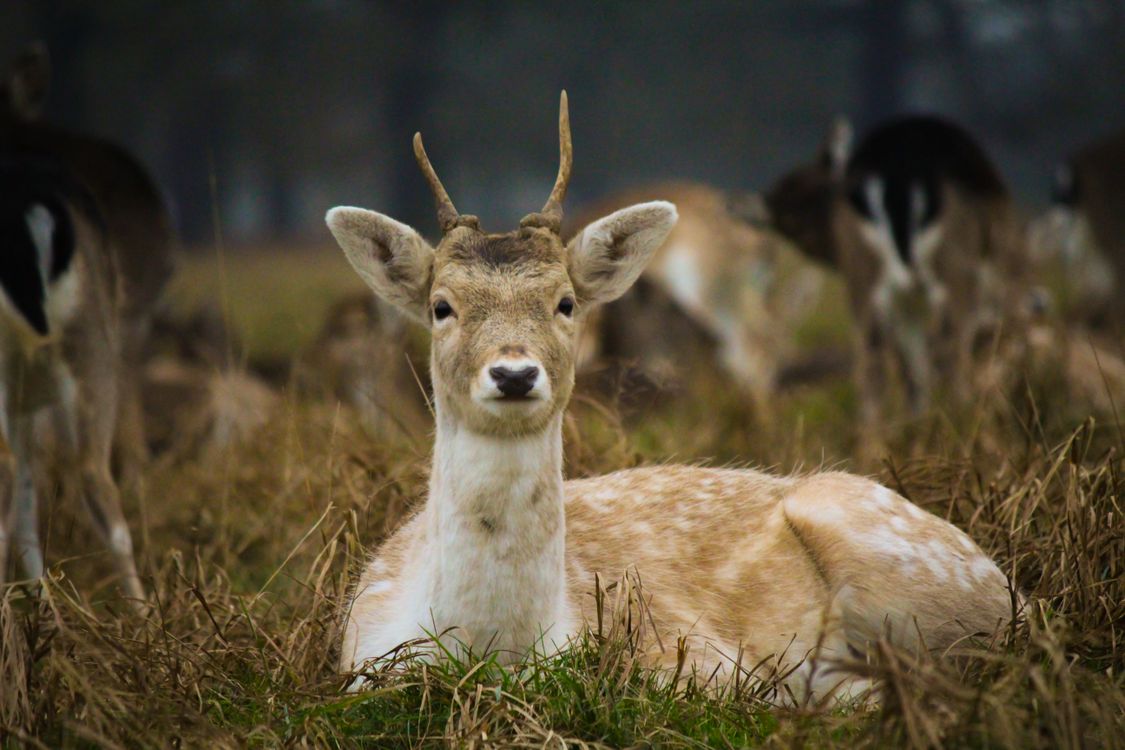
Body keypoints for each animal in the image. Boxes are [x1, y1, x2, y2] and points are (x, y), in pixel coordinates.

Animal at [749, 115, 1027, 435]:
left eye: (790, 214)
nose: (752, 208)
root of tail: (899, 179)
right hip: (952, 272)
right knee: (947, 354)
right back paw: (961, 427)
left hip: (874, 279)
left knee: (880, 362)